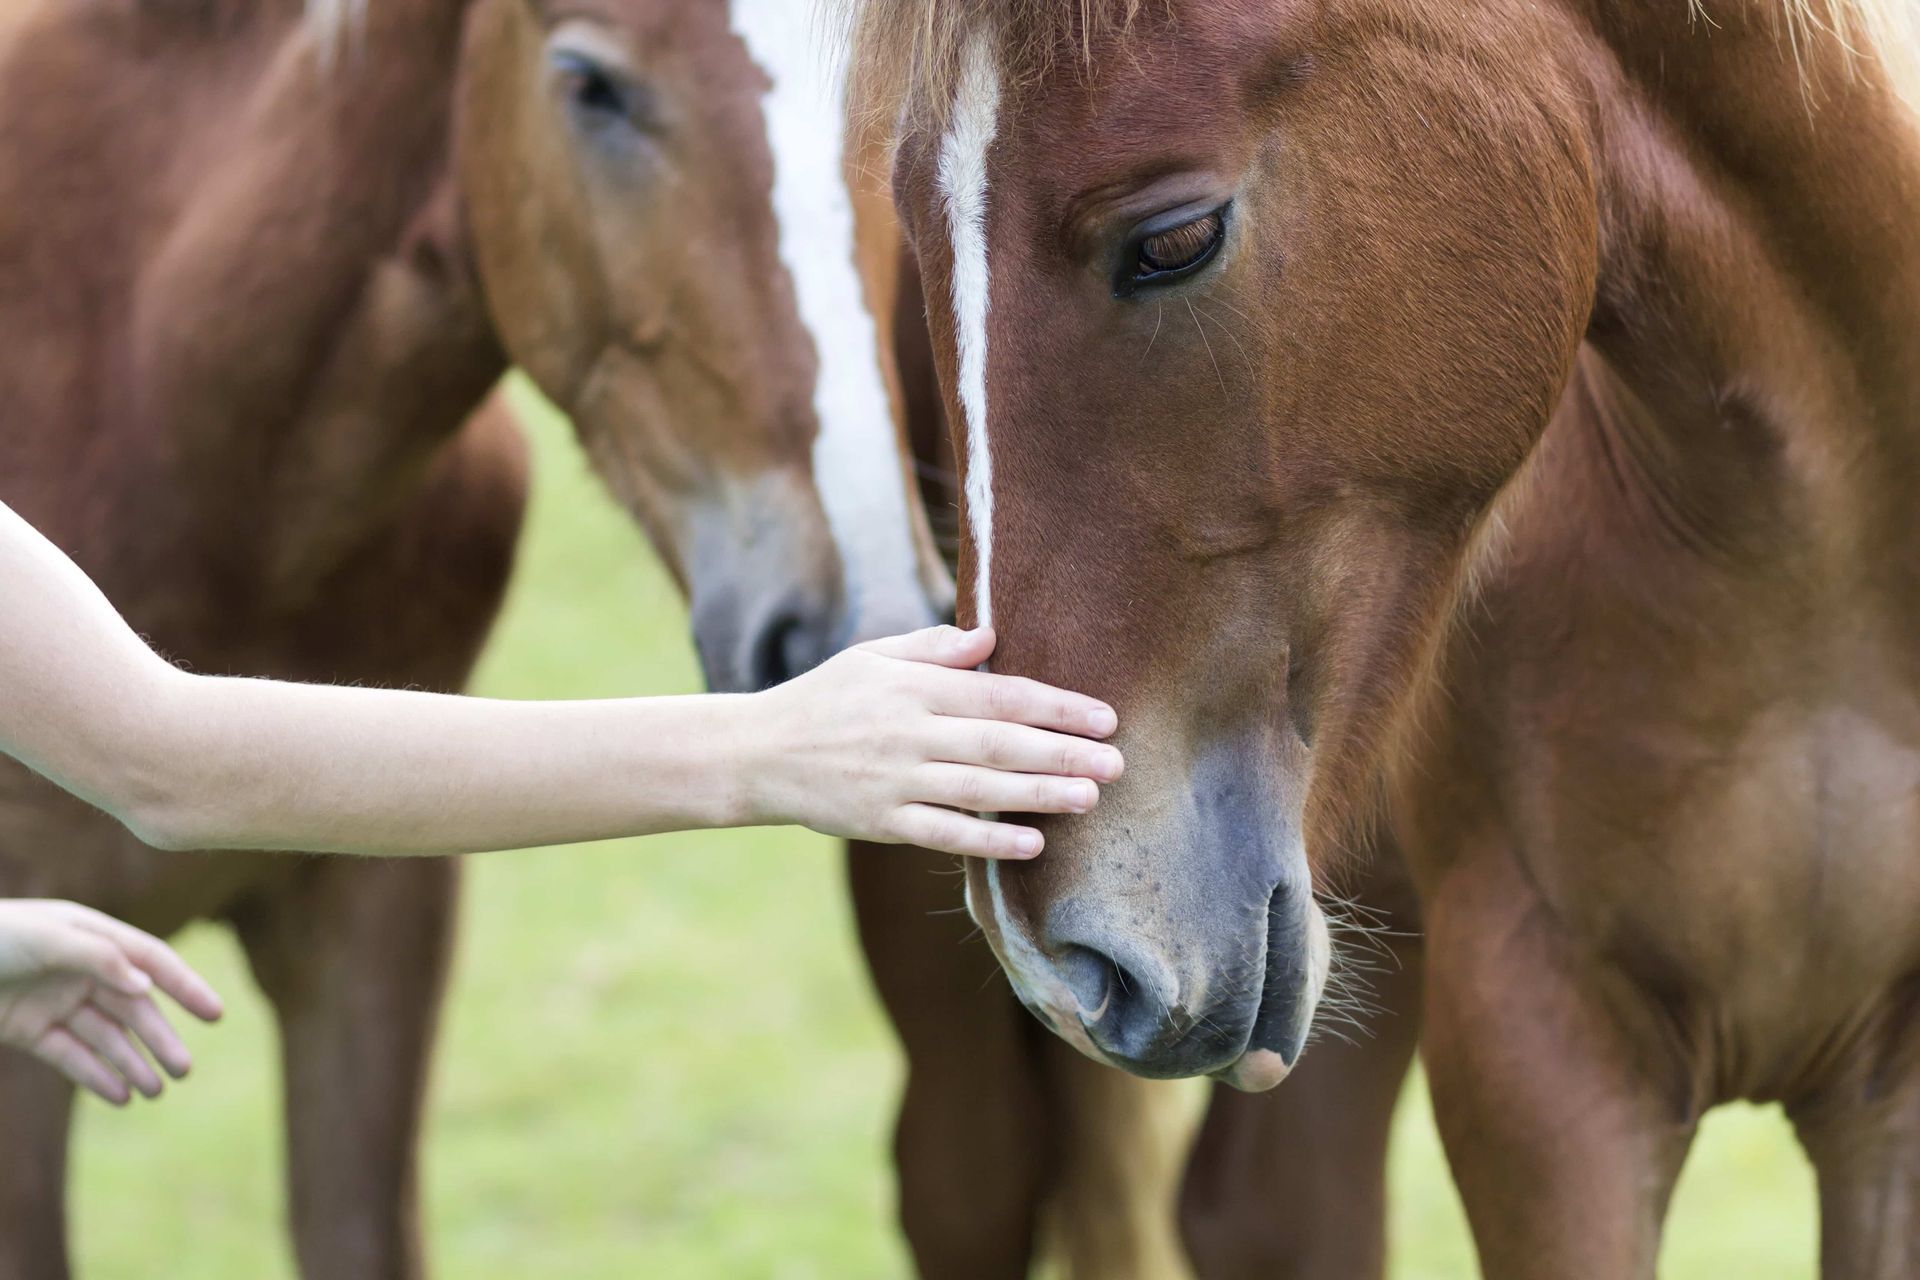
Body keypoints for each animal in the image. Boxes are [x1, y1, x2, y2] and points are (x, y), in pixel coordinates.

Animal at [844, 0, 1920, 1274]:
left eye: (1174, 239)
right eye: (917, 228)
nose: (1055, 956)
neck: (1808, 566)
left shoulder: (1887, 1099)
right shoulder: (1541, 1060)